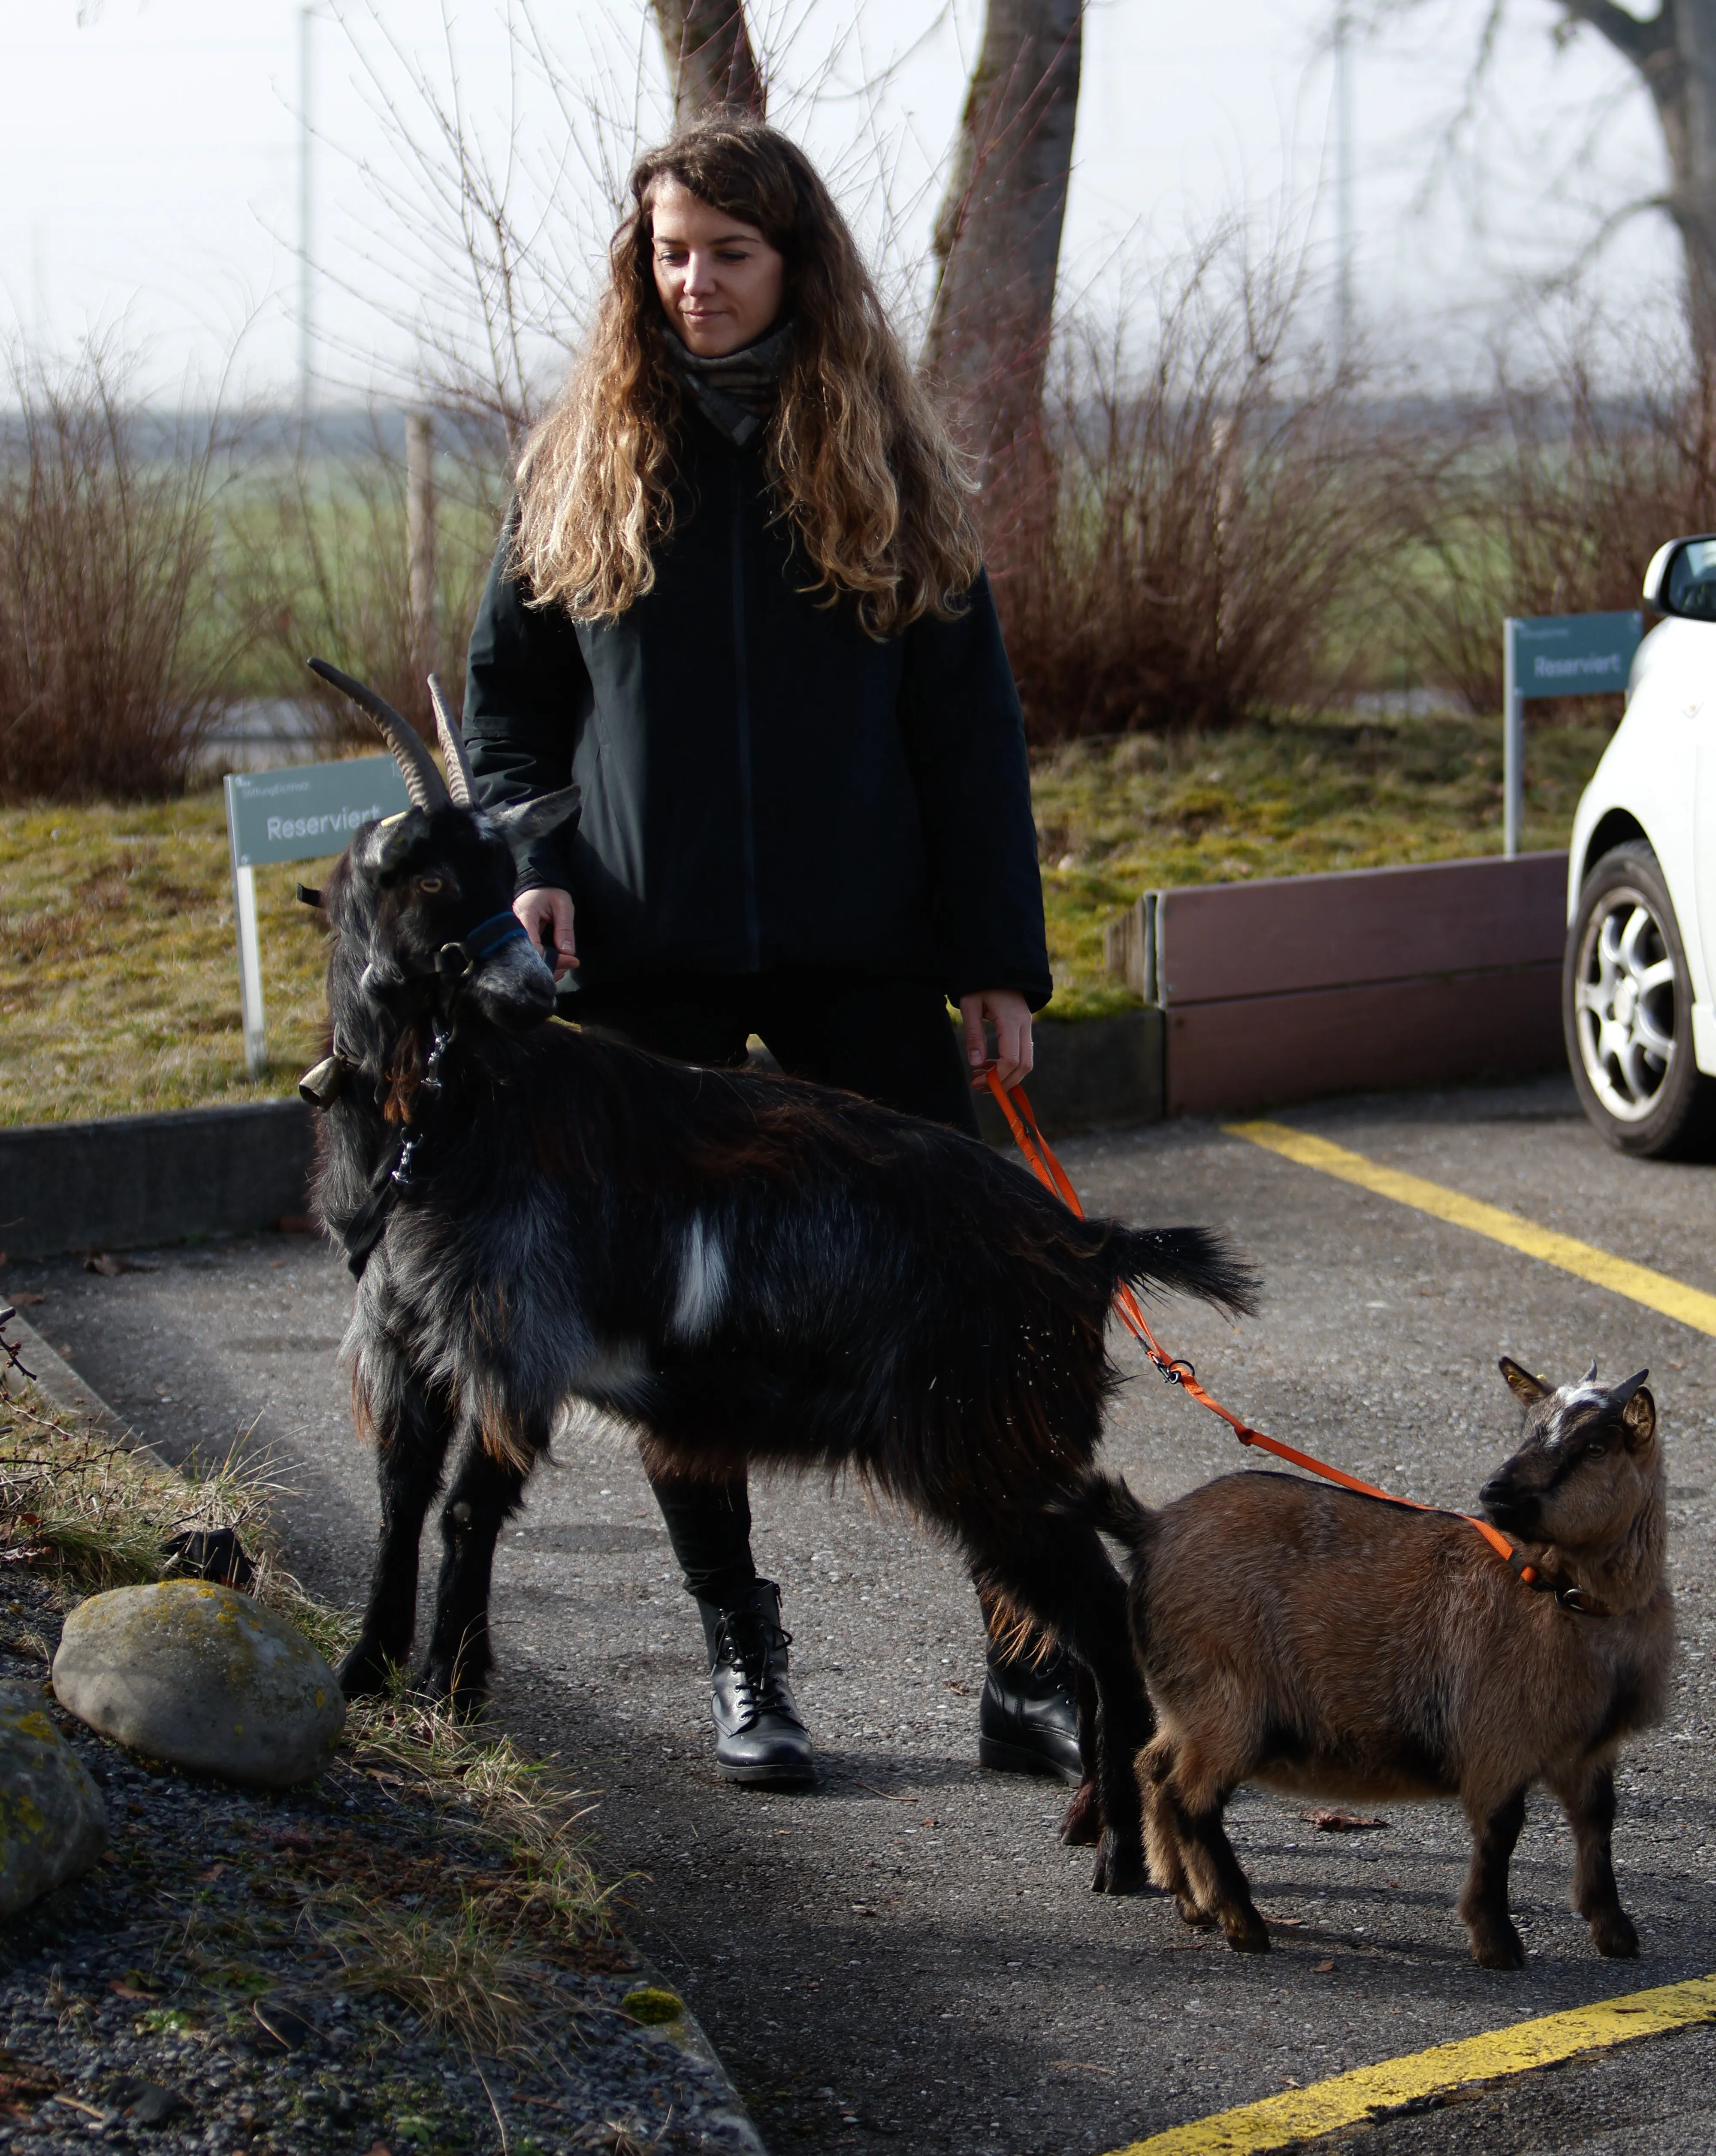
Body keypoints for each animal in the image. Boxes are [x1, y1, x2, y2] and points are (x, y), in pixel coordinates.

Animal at [304, 659, 1259, 1888]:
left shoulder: (517, 1335)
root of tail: (1089, 1247)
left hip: (989, 1444)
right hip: (1005, 1447)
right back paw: (1094, 1822)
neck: (448, 1115)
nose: (531, 989)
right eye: (429, 873)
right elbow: (398, 1495)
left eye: (506, 874)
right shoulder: (405, 1330)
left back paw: (1119, 1854)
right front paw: (365, 1670)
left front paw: (448, 1687)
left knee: (1097, 1614)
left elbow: (470, 1508)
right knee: (1091, 1613)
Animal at [1078, 1362, 1673, 1975]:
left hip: (1190, 1703)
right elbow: (1500, 1832)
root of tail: (1152, 1527)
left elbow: (1598, 1822)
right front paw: (1496, 1942)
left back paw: (1190, 1900)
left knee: (1154, 1768)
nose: (1494, 1492)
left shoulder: (1589, 1746)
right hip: (1226, 1703)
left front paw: (1615, 1933)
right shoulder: (1497, 1739)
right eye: (1528, 1431)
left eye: (1596, 1447)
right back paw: (1242, 1923)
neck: (1555, 1592)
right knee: (1190, 1798)